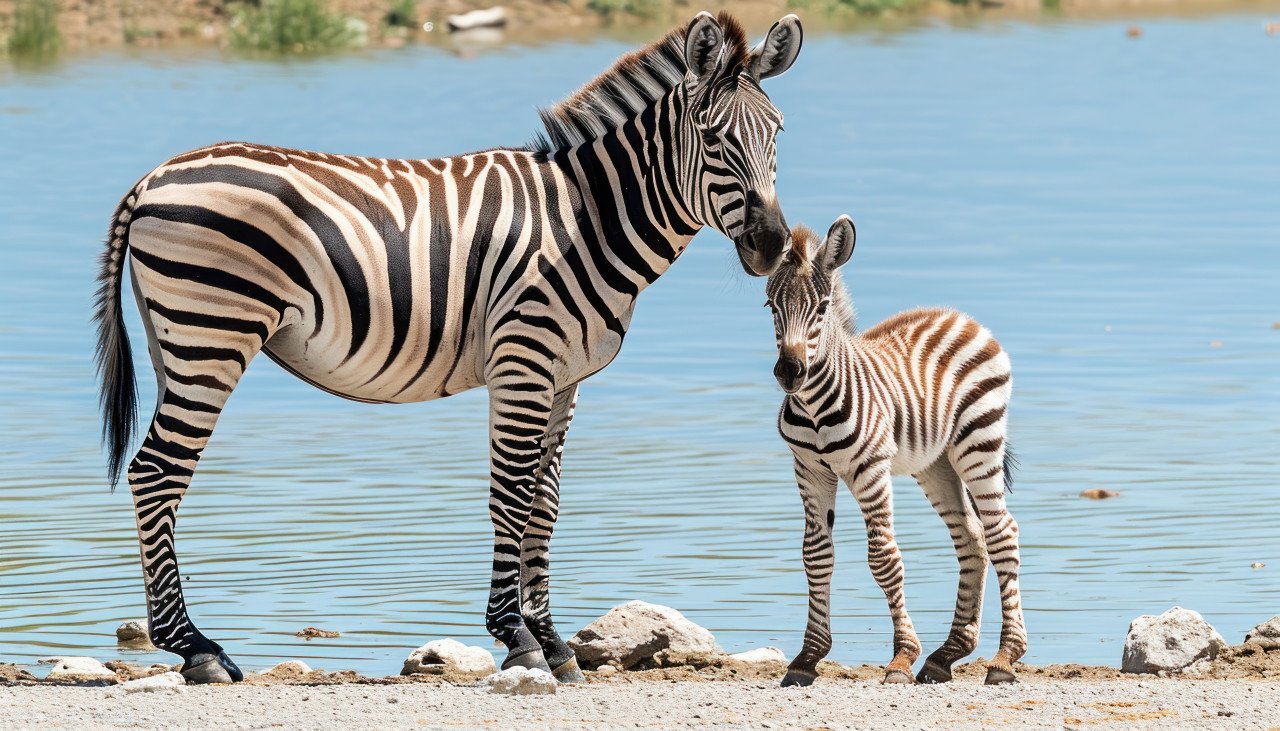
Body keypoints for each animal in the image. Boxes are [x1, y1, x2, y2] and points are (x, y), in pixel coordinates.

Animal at [93, 11, 803, 684]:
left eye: (778, 135)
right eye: (712, 138)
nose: (771, 247)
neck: (587, 219)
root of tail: (153, 178)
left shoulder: (566, 376)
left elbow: (545, 503)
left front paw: (553, 643)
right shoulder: (524, 356)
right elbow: (511, 494)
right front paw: (517, 638)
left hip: (173, 340)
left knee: (156, 472)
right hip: (212, 334)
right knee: (157, 471)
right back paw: (196, 648)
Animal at [763, 217, 1027, 687]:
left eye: (822, 308)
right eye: (771, 307)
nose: (789, 372)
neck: (813, 406)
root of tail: (958, 315)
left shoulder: (870, 468)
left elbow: (884, 558)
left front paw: (902, 657)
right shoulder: (809, 469)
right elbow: (816, 555)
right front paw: (808, 657)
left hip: (978, 441)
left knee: (1002, 533)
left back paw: (1004, 657)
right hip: (936, 463)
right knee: (972, 537)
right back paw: (946, 655)